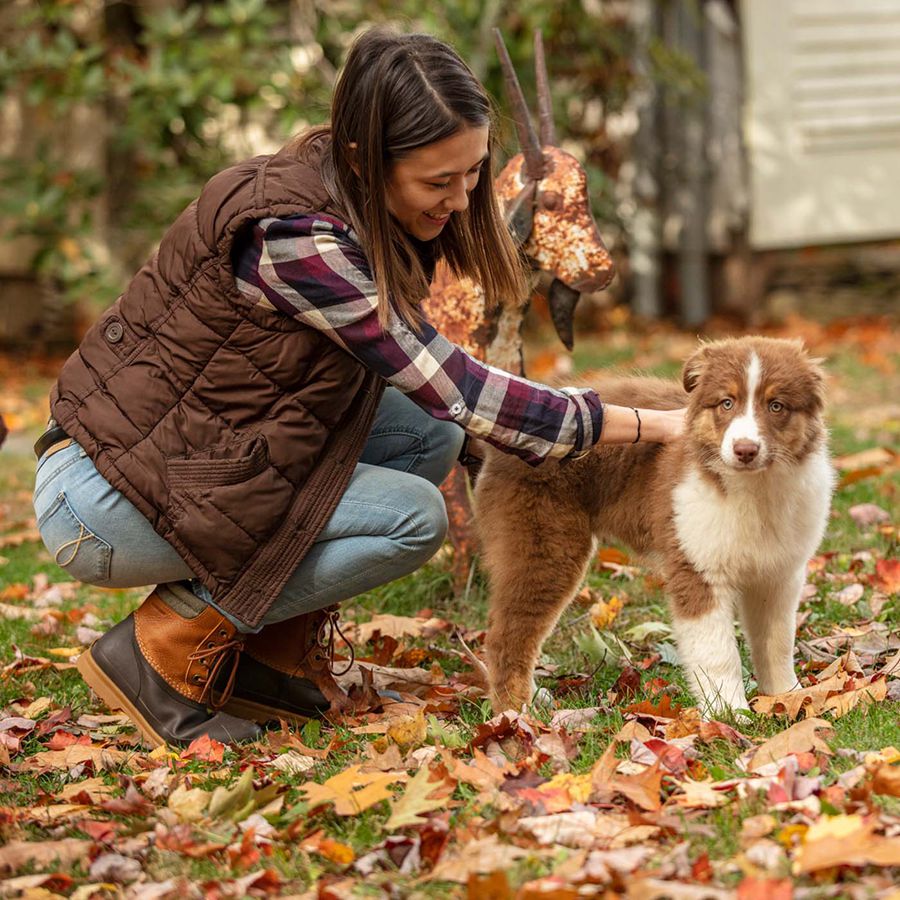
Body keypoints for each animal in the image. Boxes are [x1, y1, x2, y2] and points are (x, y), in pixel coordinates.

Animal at [474, 338, 832, 716]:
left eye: (776, 406)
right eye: (727, 403)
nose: (745, 450)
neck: (755, 489)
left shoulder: (779, 574)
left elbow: (777, 641)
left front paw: (786, 696)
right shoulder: (696, 567)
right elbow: (718, 651)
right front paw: (728, 713)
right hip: (546, 549)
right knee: (506, 637)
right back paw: (516, 713)